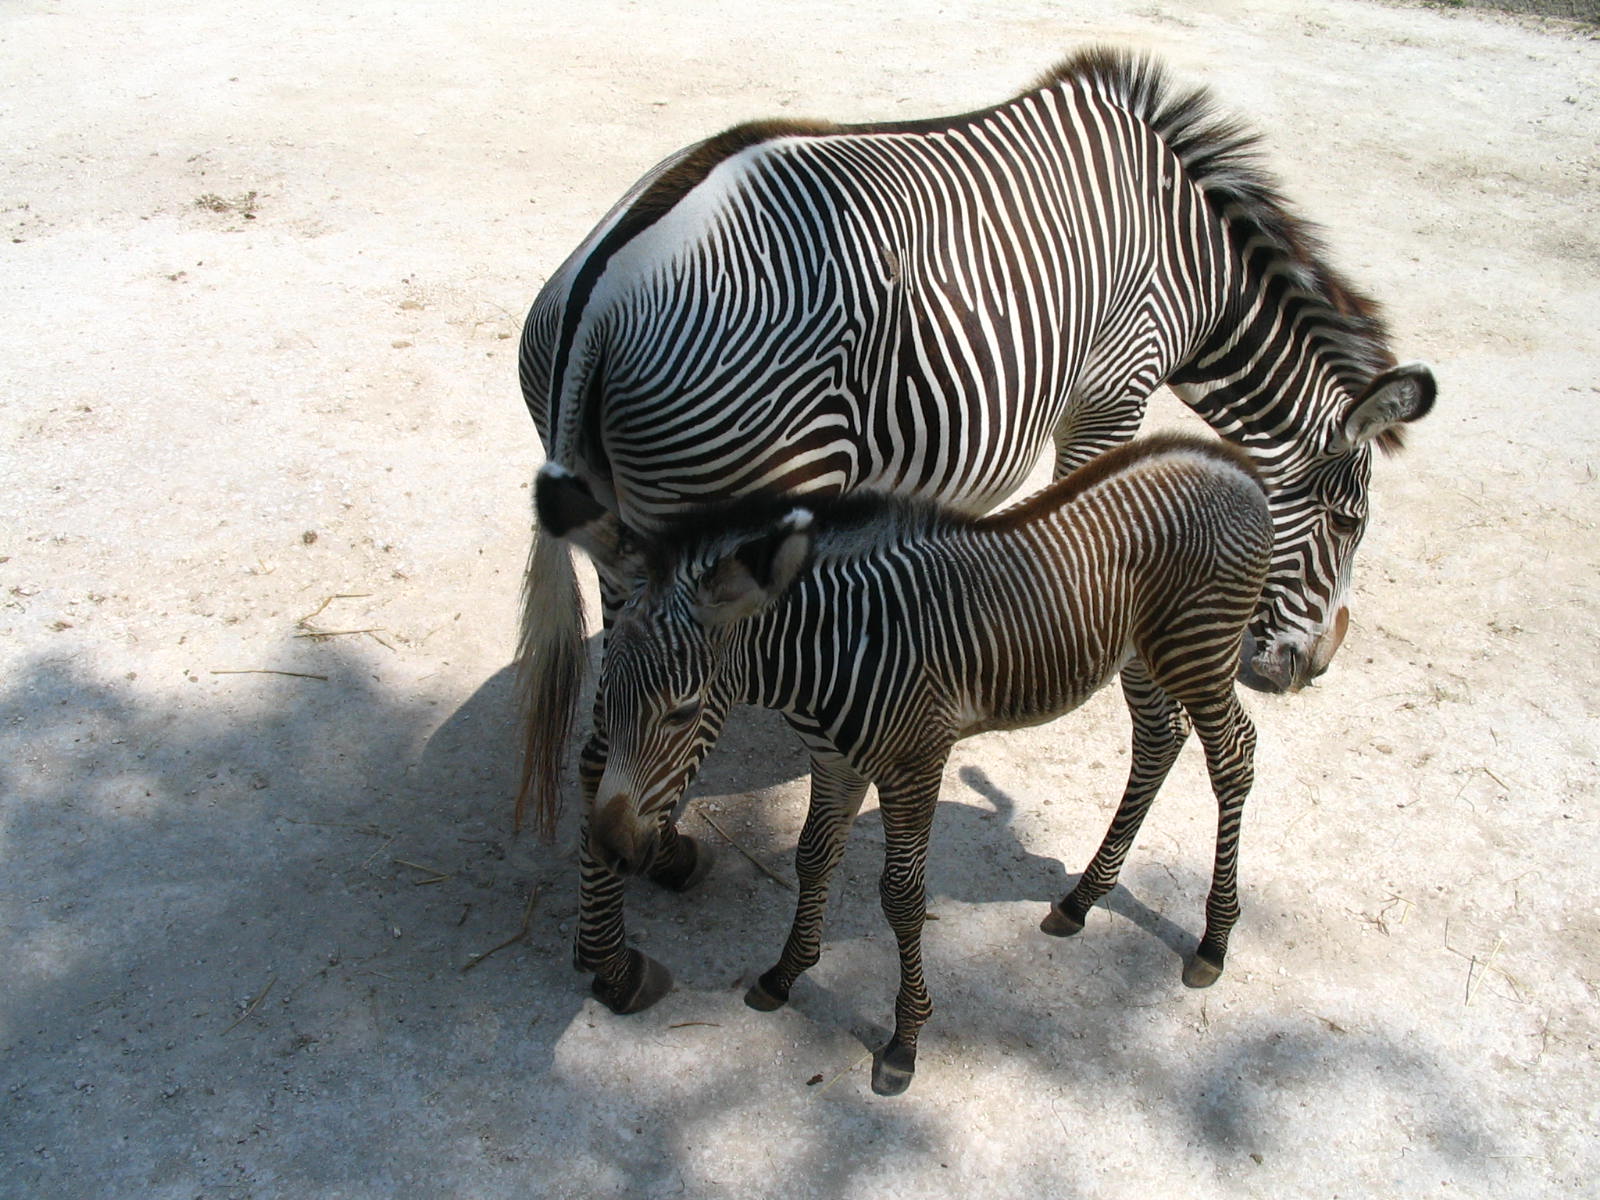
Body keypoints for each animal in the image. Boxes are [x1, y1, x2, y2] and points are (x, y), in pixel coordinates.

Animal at [515, 44, 1440, 838]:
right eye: (1349, 524)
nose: (1314, 668)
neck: (1194, 261)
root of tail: (602, 292)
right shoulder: (1111, 392)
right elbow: (1087, 512)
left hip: (618, 527)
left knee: (614, 706)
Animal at [537, 435, 1273, 1100]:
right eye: (607, 695)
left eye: (683, 712)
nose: (610, 848)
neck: (829, 655)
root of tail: (1233, 466)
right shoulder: (833, 763)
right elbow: (811, 859)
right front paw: (785, 974)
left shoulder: (916, 763)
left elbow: (901, 896)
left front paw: (904, 1042)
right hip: (1143, 652)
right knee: (1158, 740)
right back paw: (1080, 899)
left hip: (1199, 653)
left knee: (1234, 753)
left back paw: (1213, 941)